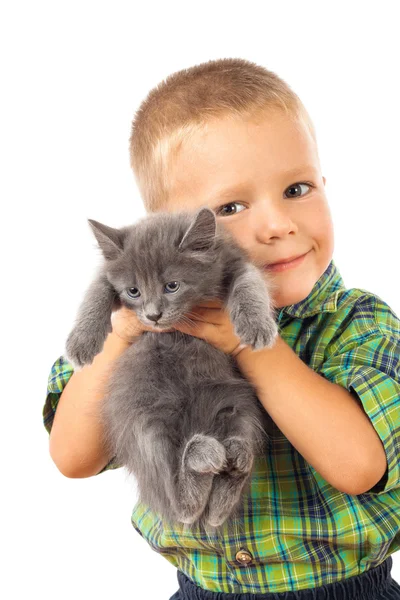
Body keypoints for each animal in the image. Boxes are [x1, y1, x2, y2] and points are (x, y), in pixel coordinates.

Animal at [65, 209, 278, 528]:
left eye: (172, 286)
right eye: (133, 291)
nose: (153, 315)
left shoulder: (236, 262)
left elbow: (250, 282)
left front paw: (256, 324)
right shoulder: (106, 276)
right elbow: (96, 293)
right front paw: (81, 342)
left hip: (241, 413)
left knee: (212, 512)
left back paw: (234, 465)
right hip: (146, 430)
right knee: (179, 505)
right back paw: (201, 459)